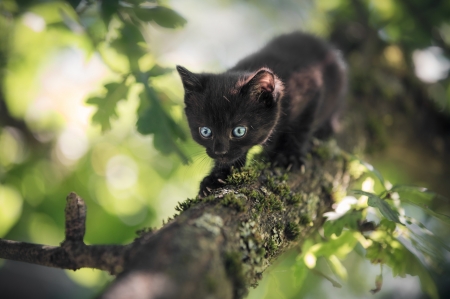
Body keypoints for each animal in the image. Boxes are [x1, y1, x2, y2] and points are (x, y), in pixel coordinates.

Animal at [178, 32, 346, 197]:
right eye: (205, 131)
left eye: (239, 131)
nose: (220, 152)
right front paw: (216, 177)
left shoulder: (312, 91)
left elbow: (301, 128)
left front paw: (291, 156)